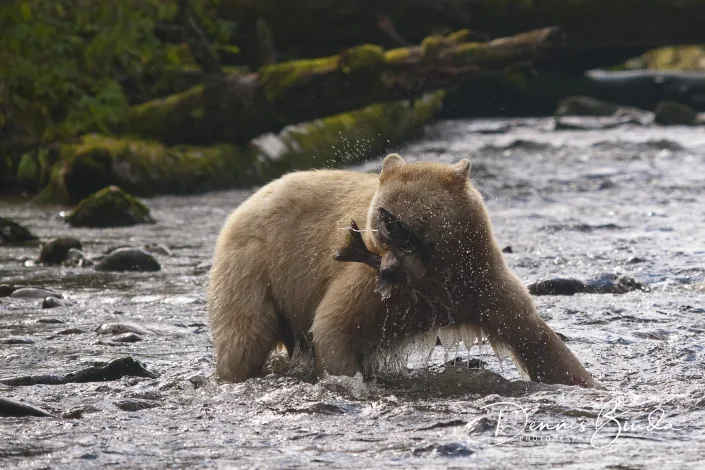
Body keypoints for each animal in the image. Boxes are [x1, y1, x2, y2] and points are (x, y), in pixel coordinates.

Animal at [207, 154, 599, 388]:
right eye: (380, 225)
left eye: (410, 228)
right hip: (255, 267)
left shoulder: (480, 283)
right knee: (245, 335)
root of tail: (249, 199)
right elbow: (335, 325)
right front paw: (349, 379)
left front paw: (586, 381)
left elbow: (534, 337)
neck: (435, 280)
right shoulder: (369, 286)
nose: (392, 272)